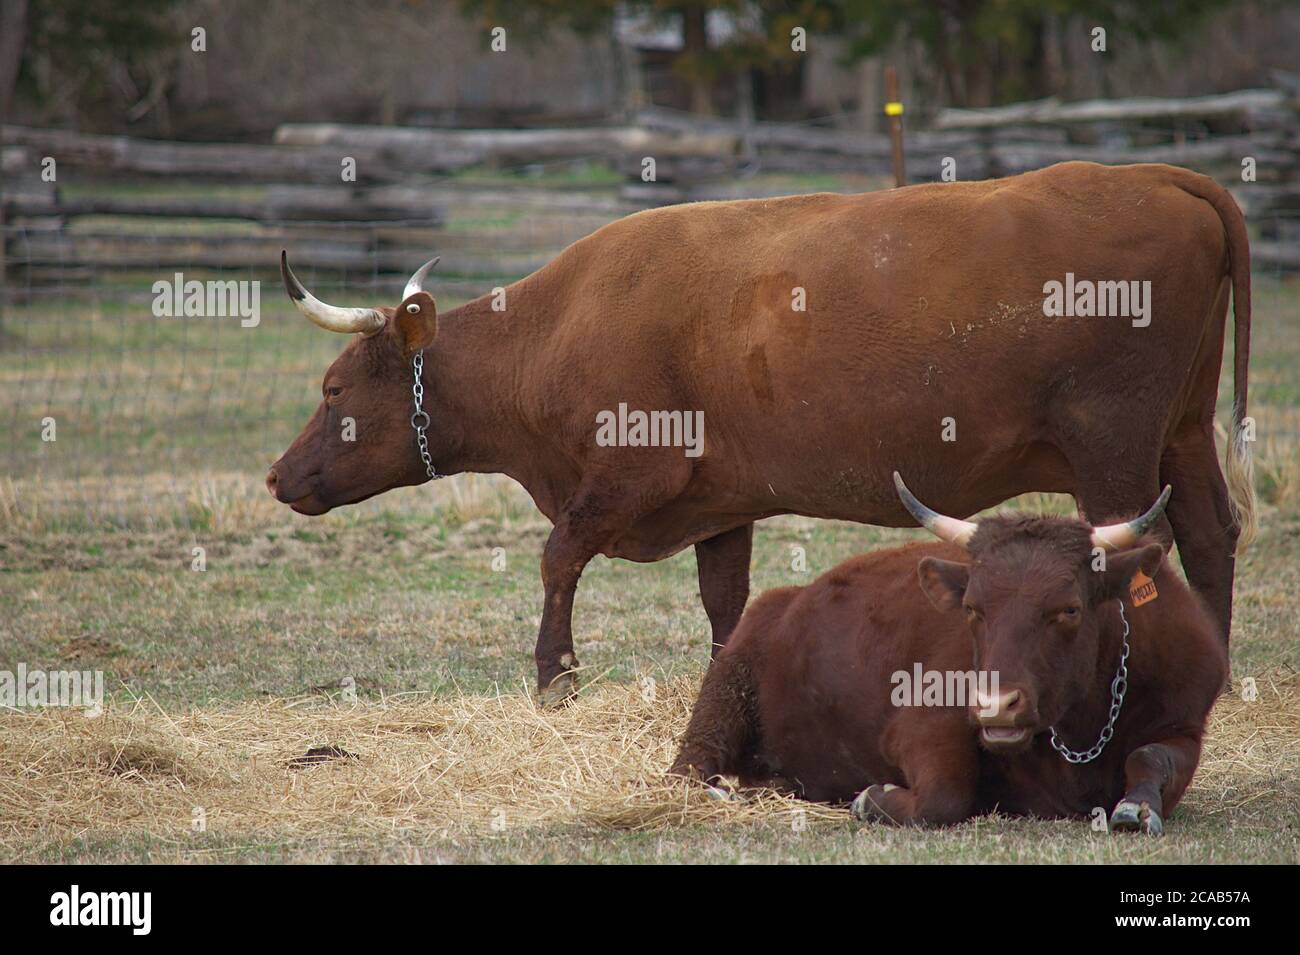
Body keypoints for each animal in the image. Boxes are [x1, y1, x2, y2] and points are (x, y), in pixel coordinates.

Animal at [265, 161, 1253, 705]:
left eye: (334, 386)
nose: (278, 476)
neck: (560, 324)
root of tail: (1158, 175)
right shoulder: (719, 501)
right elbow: (724, 603)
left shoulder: (631, 474)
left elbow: (557, 559)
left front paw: (554, 678)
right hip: (1181, 430)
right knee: (1210, 533)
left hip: (1112, 445)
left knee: (1146, 551)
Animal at [668, 475, 1227, 833]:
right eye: (973, 608)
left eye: (1068, 608)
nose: (996, 705)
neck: (1080, 729)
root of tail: (787, 597)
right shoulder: (923, 723)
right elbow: (944, 794)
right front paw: (872, 800)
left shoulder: (1184, 725)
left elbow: (1151, 757)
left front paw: (1137, 808)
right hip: (725, 690)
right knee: (690, 768)